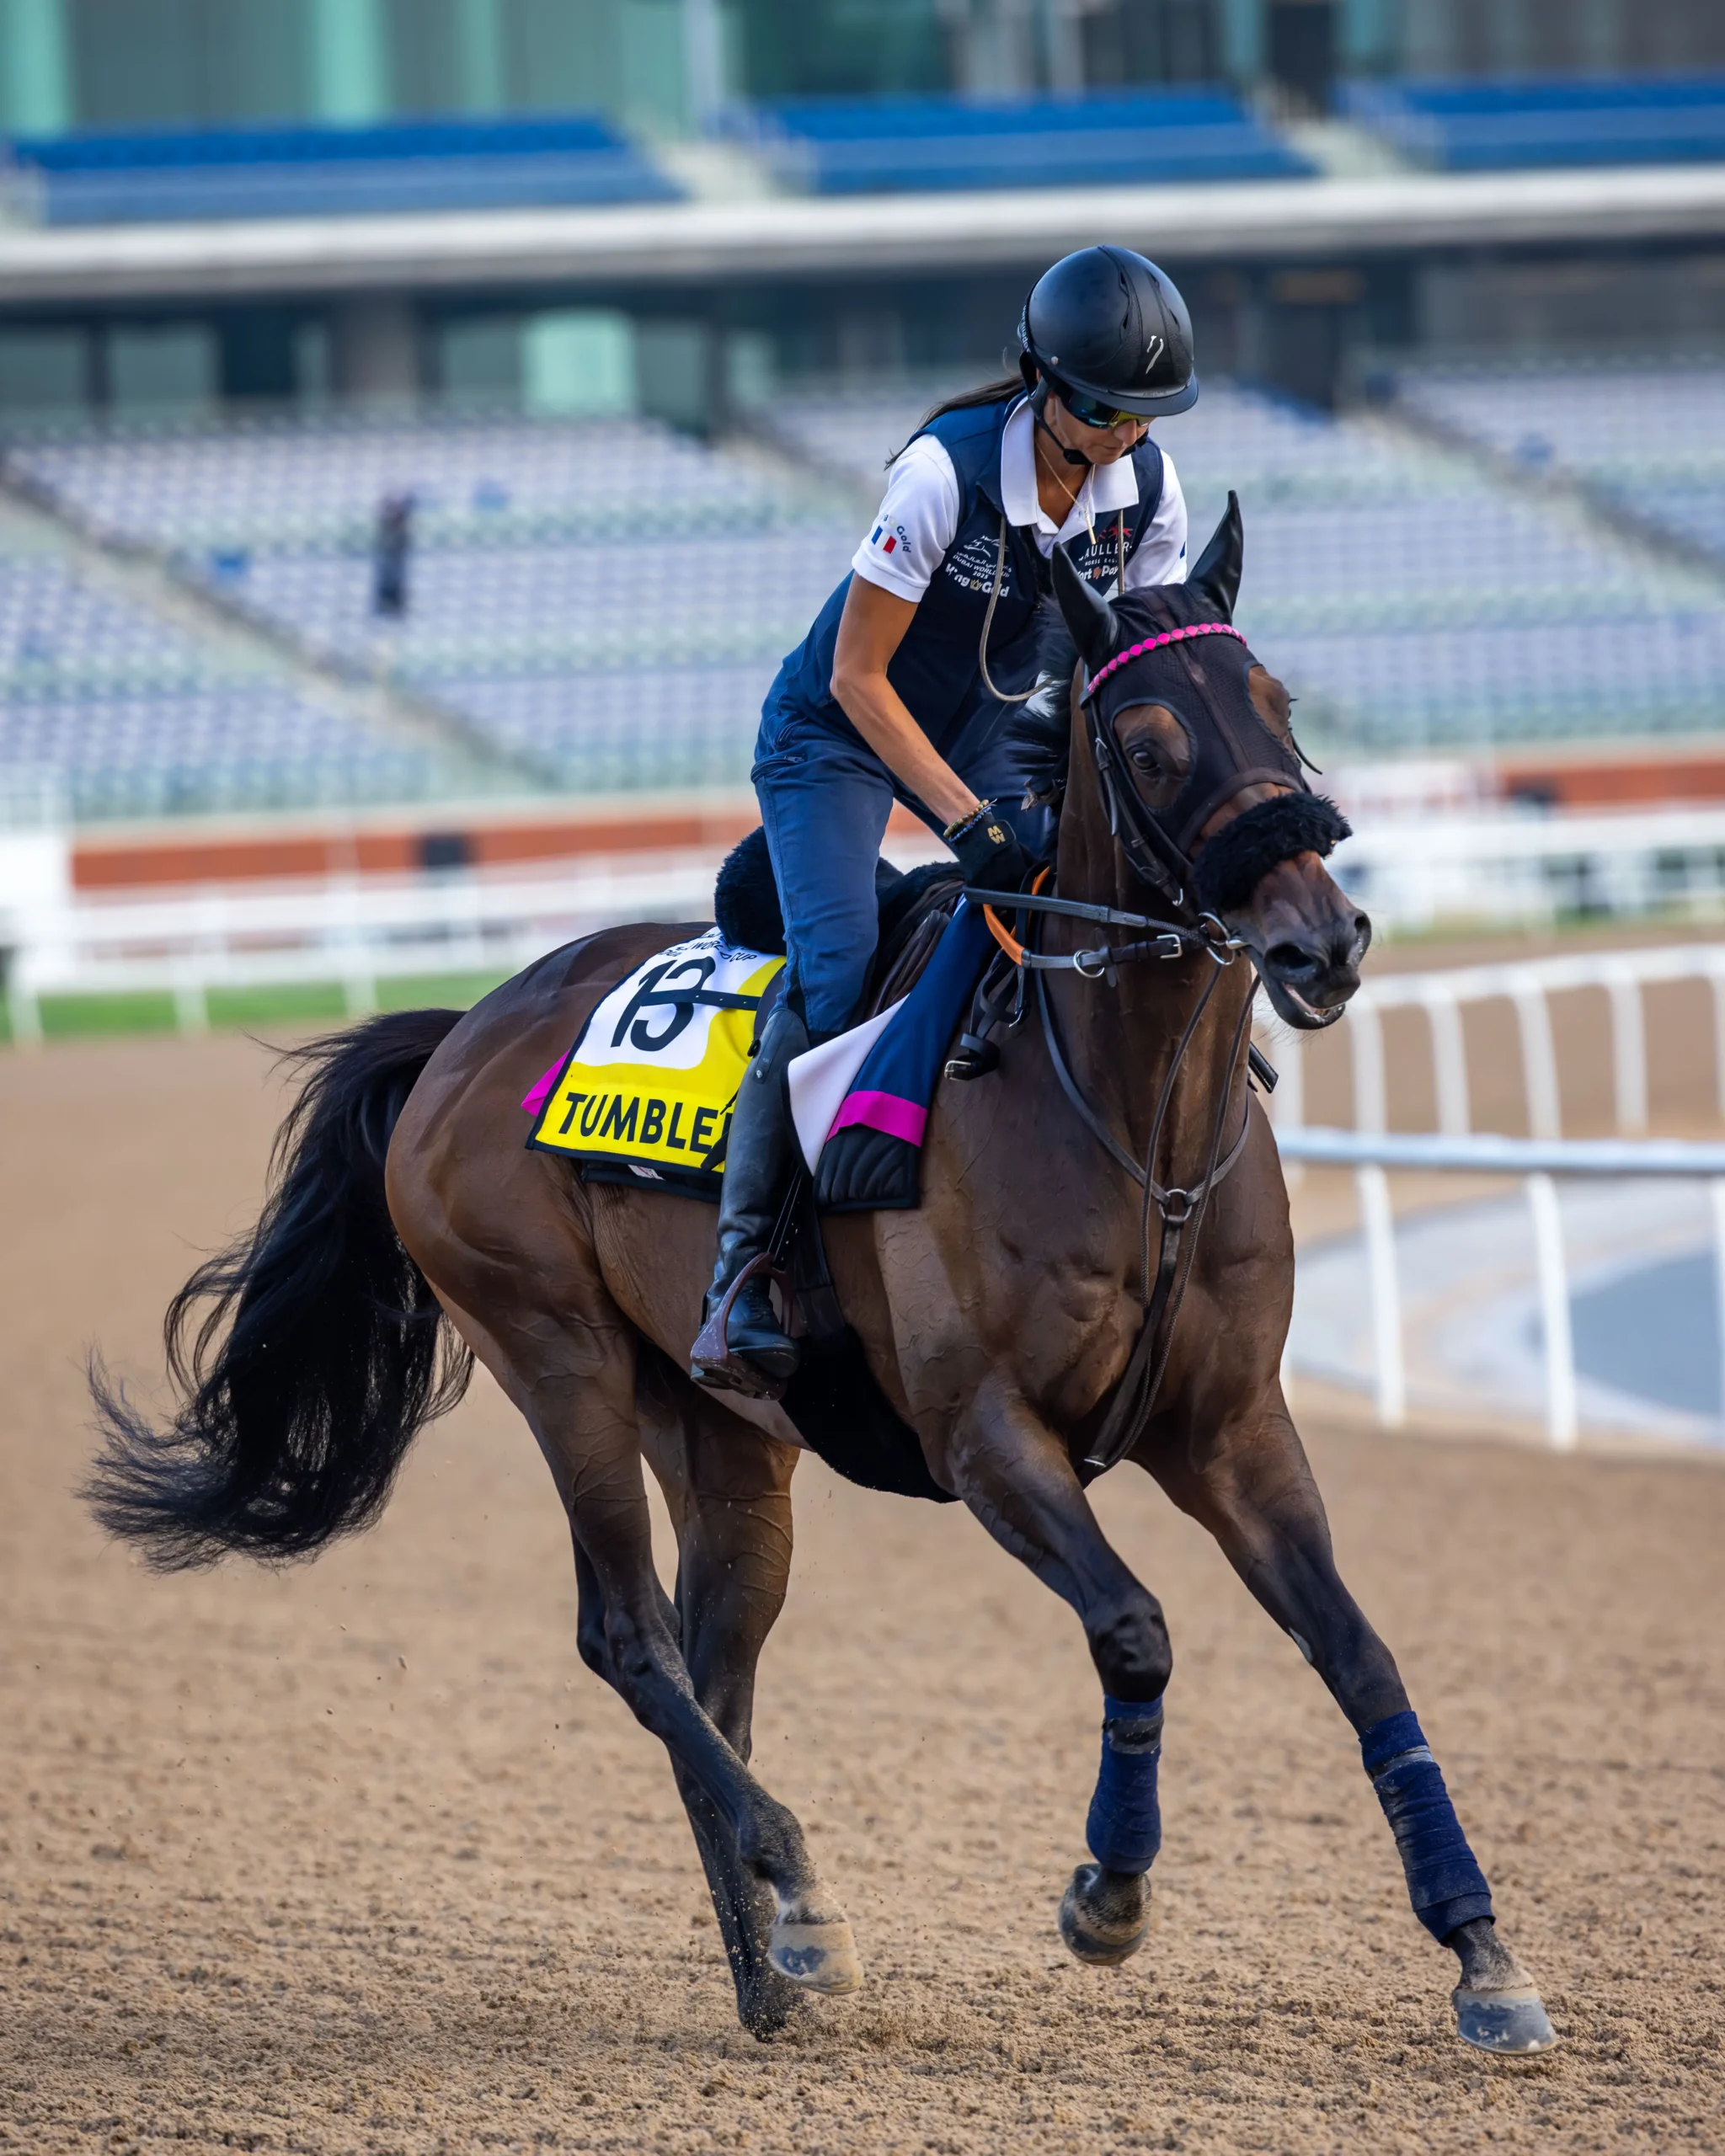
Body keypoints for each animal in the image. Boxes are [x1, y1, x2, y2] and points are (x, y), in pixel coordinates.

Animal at [87, 498, 1556, 2058]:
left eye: (1279, 707)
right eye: (1153, 741)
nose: (1319, 941)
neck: (1128, 1119)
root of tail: (461, 1034)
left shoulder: (1229, 1428)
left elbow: (1360, 1655)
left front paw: (1482, 1956)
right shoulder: (985, 1437)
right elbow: (1135, 1632)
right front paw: (1107, 1894)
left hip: (723, 1434)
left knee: (708, 1666)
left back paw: (767, 1968)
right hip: (557, 1355)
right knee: (628, 1639)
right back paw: (794, 1880)